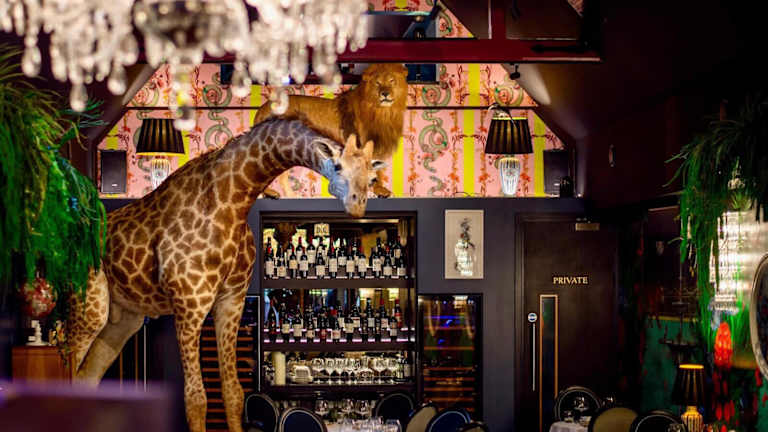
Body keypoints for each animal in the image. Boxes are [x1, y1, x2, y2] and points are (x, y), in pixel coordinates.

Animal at [67, 118, 383, 432]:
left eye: (370, 174)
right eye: (337, 166)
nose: (358, 204)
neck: (232, 202)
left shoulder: (233, 299)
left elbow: (234, 392)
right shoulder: (190, 304)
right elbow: (195, 398)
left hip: (123, 321)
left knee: (87, 377)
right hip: (89, 310)